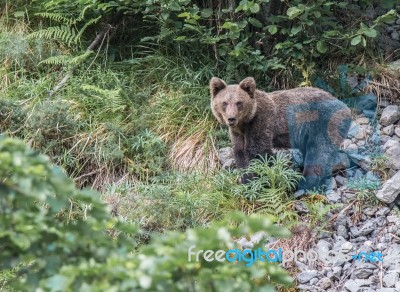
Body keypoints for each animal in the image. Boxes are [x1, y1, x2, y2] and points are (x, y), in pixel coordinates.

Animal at [209, 77, 350, 194]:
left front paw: (262, 182)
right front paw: (246, 182)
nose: (231, 119)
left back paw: (303, 183)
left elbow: (258, 151)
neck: (245, 123)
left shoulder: (261, 122)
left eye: (239, 102)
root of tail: (343, 105)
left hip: (324, 123)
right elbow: (240, 154)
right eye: (224, 103)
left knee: (319, 153)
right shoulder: (238, 133)